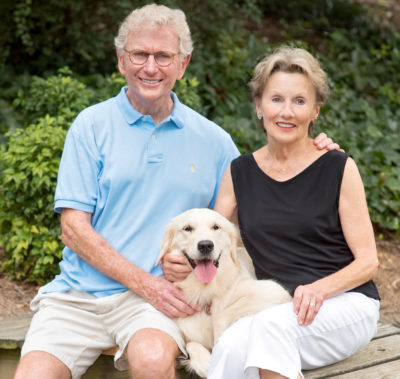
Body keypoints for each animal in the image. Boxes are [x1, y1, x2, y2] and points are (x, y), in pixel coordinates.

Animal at [156, 209, 290, 378]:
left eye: (216, 227)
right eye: (187, 228)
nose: (205, 245)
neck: (204, 292)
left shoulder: (274, 290)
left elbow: (219, 317)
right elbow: (191, 344)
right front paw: (203, 362)